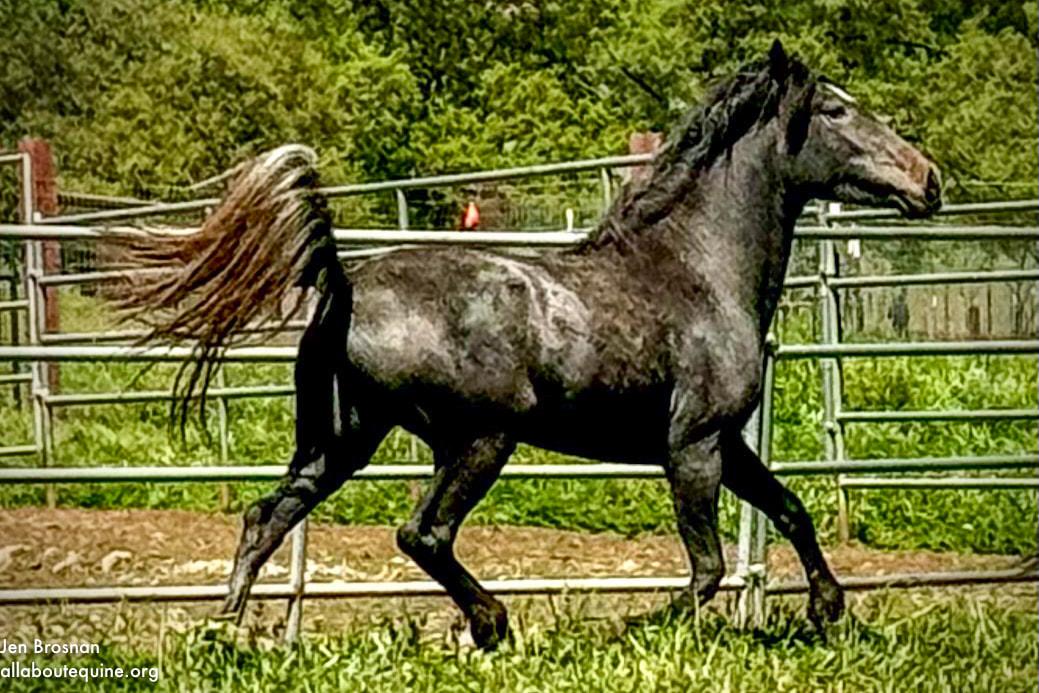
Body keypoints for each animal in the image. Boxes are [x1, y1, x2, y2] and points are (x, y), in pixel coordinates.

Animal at [118, 41, 941, 650]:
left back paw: (225, 633)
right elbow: (705, 566)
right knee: (422, 533)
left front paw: (828, 608)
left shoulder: (727, 442)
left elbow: (790, 507)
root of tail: (344, 284)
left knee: (266, 517)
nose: (928, 179)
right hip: (481, 438)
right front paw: (638, 626)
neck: (696, 269)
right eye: (835, 108)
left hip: (341, 441)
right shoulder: (694, 446)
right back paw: (491, 623)